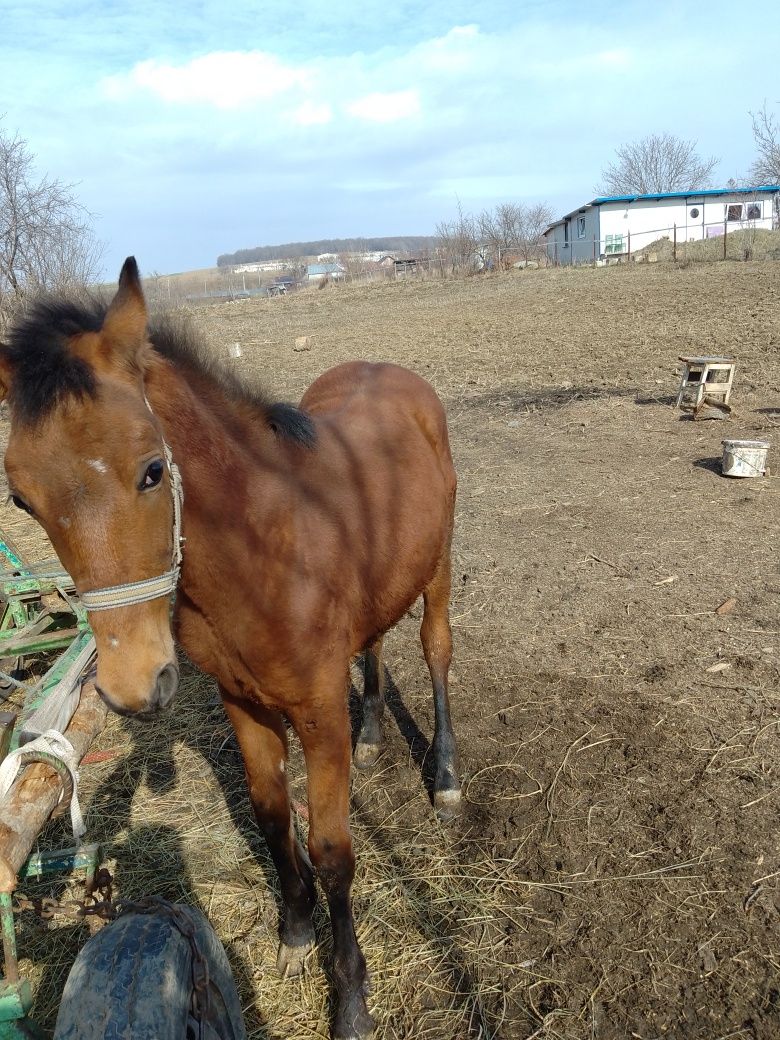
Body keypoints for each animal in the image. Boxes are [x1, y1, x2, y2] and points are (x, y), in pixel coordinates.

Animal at [0, 262, 461, 1040]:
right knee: (373, 643)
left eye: (152, 471)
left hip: (437, 569)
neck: (265, 548)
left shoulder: (316, 710)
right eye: (22, 500)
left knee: (435, 651)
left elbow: (332, 851)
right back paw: (373, 733)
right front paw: (296, 935)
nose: (133, 687)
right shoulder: (242, 702)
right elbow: (273, 820)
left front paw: (351, 998)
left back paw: (448, 773)